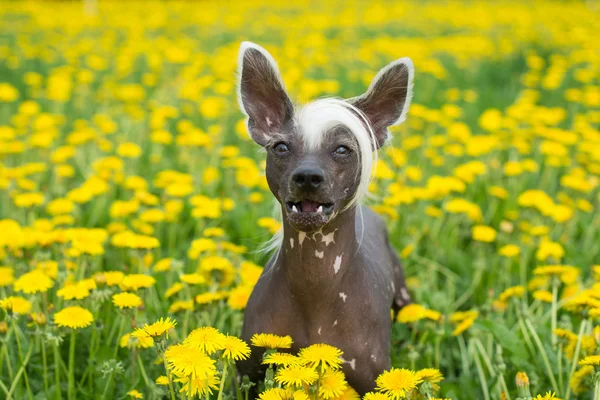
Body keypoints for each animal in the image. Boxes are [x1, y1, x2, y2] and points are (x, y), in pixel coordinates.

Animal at [234, 42, 412, 396]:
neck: (315, 286)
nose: (307, 177)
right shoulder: (246, 372)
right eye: (281, 147)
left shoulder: (375, 381)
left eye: (342, 149)